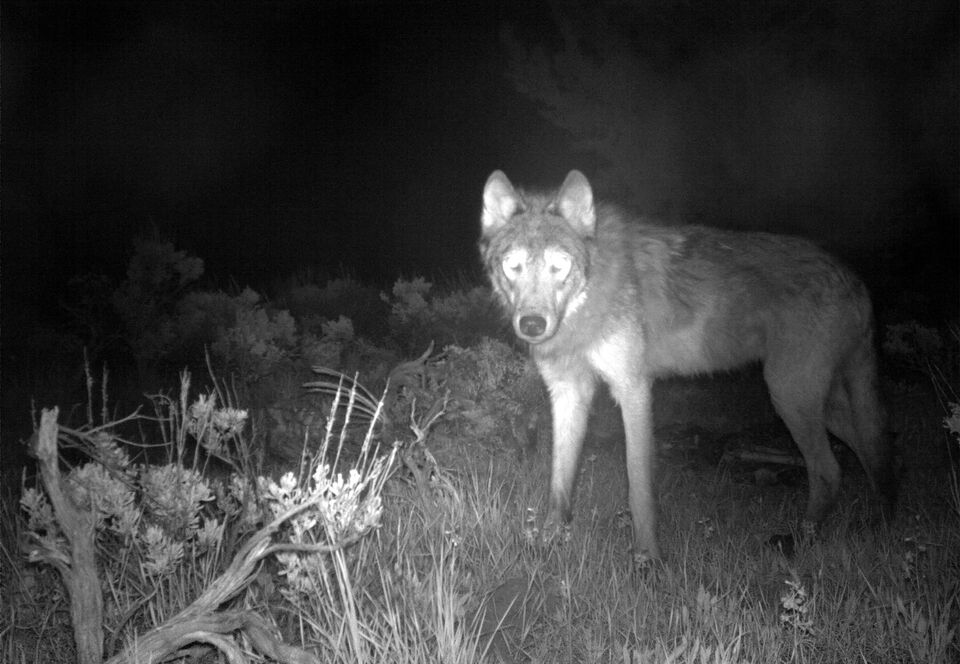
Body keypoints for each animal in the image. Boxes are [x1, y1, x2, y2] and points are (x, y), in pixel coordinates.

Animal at [484, 169, 896, 556]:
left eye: (559, 265)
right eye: (512, 266)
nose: (532, 325)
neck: (586, 301)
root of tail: (854, 279)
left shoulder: (633, 389)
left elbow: (638, 487)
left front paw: (648, 558)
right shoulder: (568, 392)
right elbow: (559, 482)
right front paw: (547, 543)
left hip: (790, 396)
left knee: (830, 470)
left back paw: (801, 540)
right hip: (817, 404)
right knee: (872, 453)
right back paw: (878, 522)